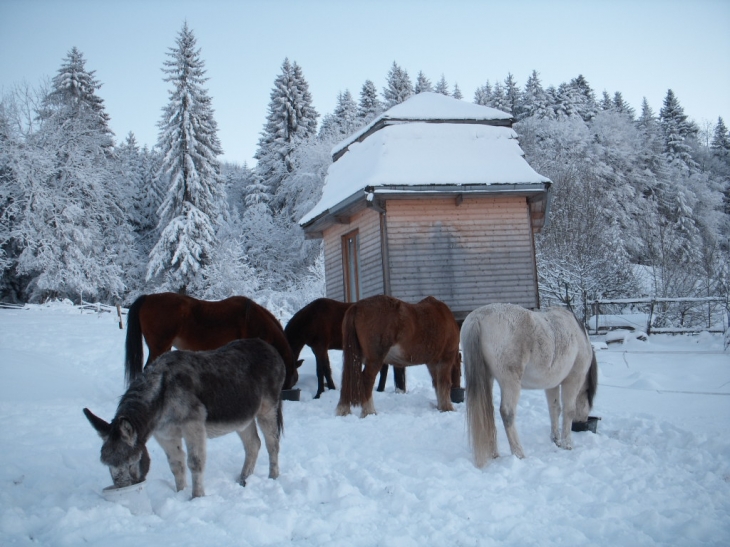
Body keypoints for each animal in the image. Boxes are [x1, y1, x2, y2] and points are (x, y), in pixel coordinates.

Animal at [460, 302, 596, 468]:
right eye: (588, 396)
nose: (582, 423)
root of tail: (478, 317)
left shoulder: (552, 384)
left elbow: (554, 409)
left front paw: (556, 440)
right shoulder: (573, 380)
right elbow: (569, 410)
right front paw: (567, 444)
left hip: (487, 378)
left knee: (487, 412)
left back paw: (494, 454)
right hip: (510, 382)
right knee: (507, 413)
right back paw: (519, 453)